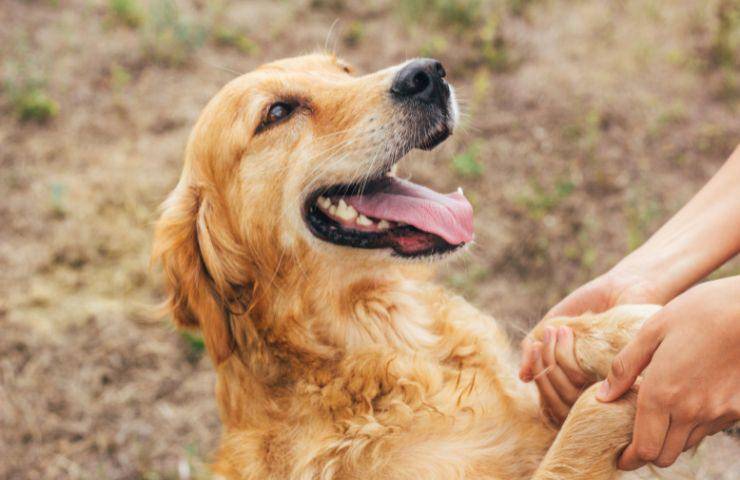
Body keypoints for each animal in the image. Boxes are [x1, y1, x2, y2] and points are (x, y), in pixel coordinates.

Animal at [152, 54, 700, 478]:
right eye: (278, 112)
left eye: (344, 70)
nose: (427, 73)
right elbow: (588, 420)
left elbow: (546, 336)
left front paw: (629, 329)